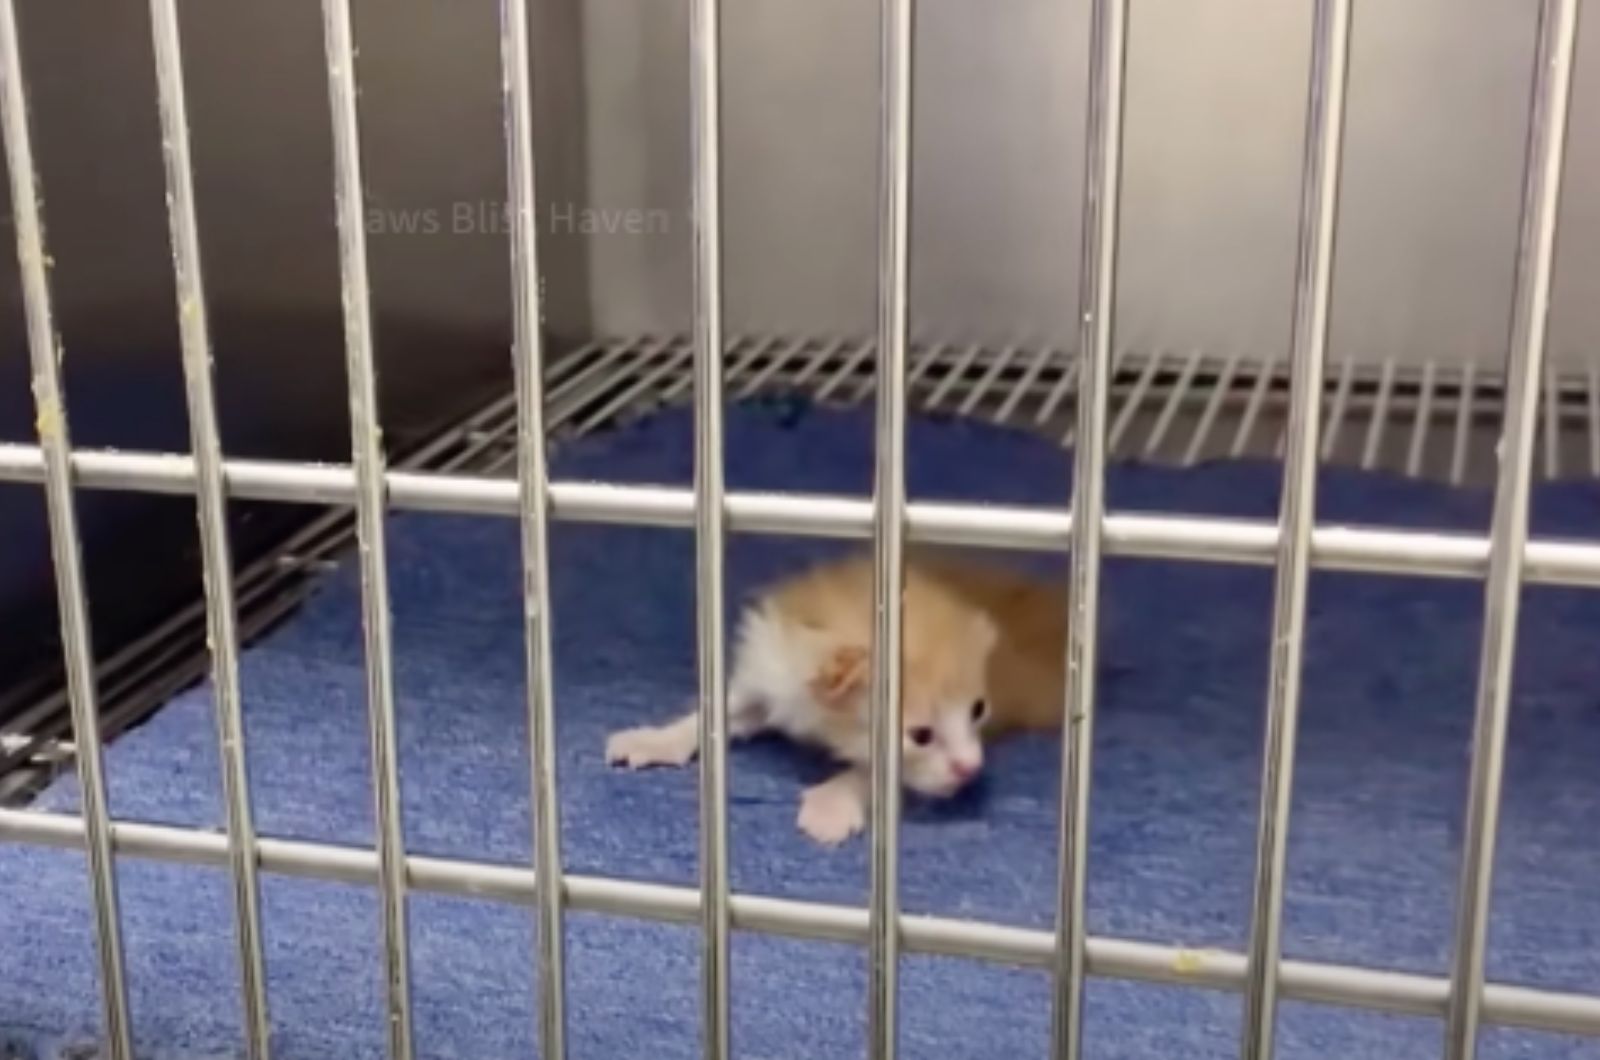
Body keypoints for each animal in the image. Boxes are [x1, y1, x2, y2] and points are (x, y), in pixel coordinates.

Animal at [601, 547, 1062, 845]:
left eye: (978, 710)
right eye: (921, 736)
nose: (971, 769)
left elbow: (874, 771)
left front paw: (833, 804)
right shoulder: (774, 670)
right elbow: (718, 713)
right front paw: (657, 740)